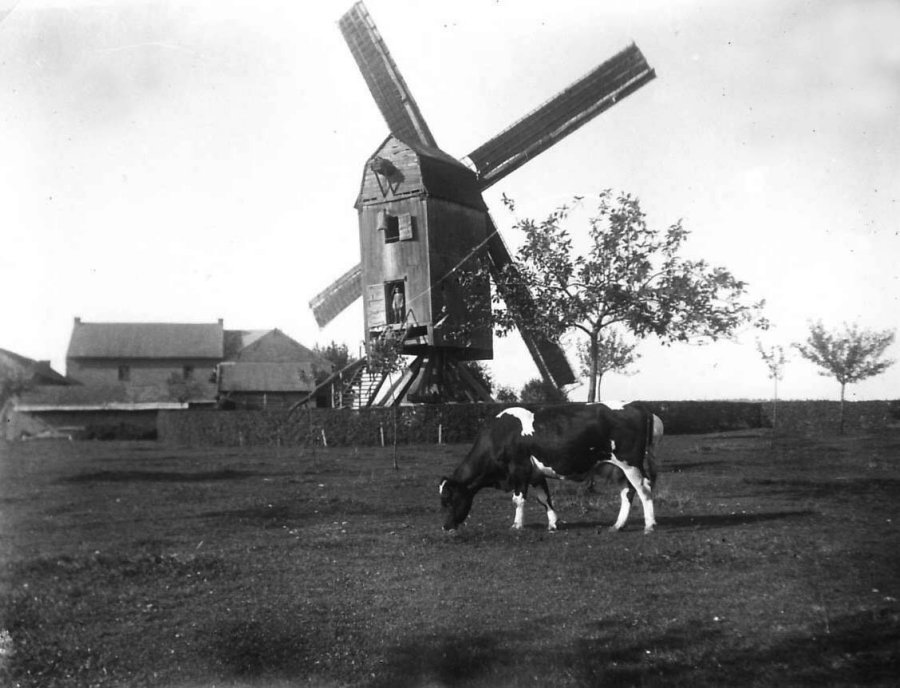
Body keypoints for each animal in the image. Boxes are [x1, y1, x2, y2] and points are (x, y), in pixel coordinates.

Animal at [442, 400, 660, 536]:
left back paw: (649, 525)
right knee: (627, 492)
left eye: (450, 500)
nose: (446, 527)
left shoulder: (519, 469)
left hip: (631, 464)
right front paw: (553, 523)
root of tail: (635, 405)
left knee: (644, 489)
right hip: (618, 469)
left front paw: (517, 525)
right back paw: (618, 525)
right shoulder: (535, 474)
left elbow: (518, 500)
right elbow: (544, 498)